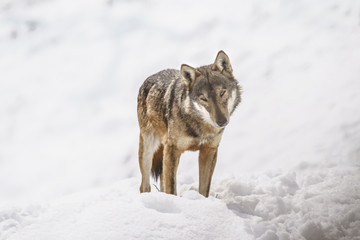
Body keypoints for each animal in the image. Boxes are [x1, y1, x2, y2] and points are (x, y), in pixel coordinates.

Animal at [138, 50, 242, 197]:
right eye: (203, 98)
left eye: (222, 93)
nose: (222, 122)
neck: (200, 127)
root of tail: (151, 77)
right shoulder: (172, 150)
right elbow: (172, 188)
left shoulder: (209, 150)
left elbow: (204, 189)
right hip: (148, 150)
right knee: (144, 186)